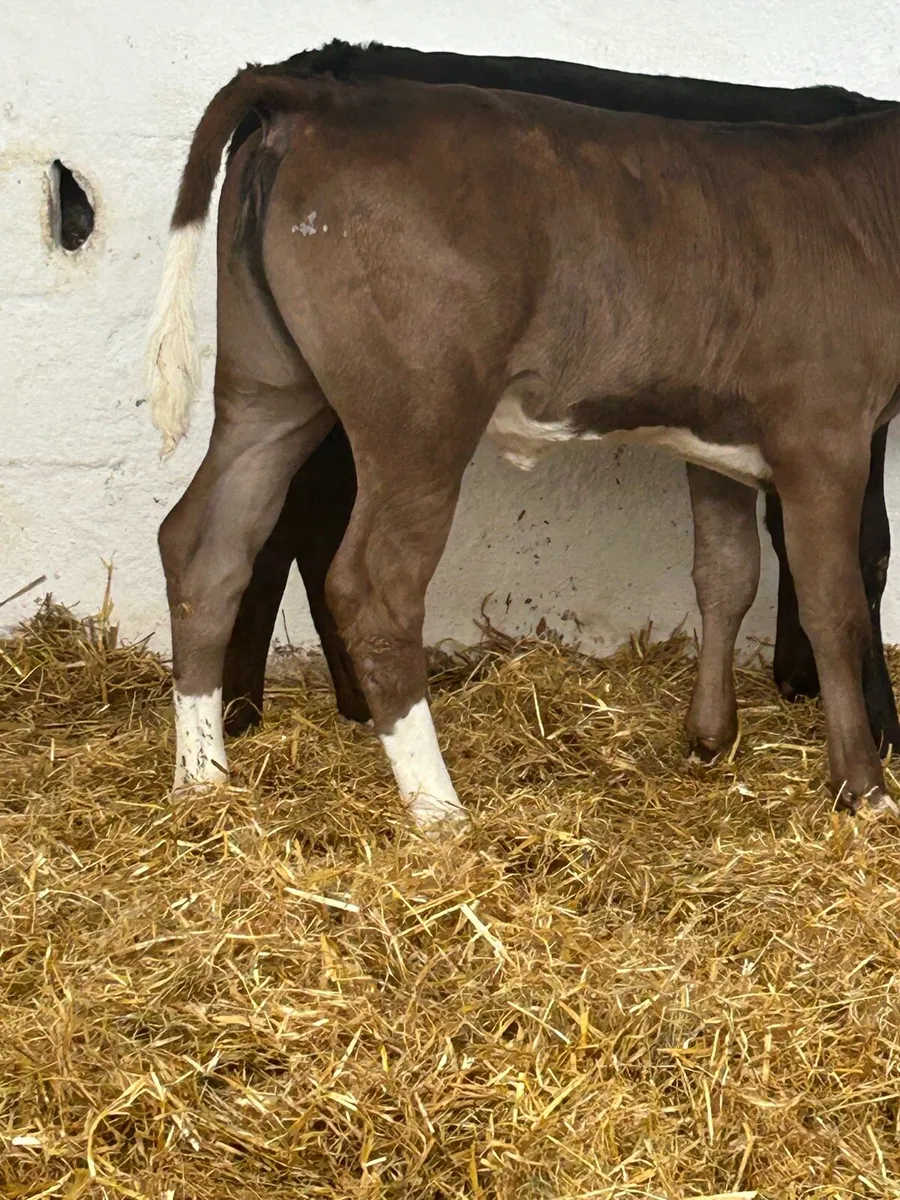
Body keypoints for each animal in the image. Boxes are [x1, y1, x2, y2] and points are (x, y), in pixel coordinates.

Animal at [146, 64, 900, 829]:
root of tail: (315, 96)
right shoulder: (826, 432)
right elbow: (833, 604)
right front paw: (862, 786)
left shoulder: (716, 435)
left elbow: (726, 575)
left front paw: (710, 740)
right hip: (421, 413)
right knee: (373, 584)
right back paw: (440, 812)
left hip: (269, 388)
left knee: (204, 547)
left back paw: (202, 784)